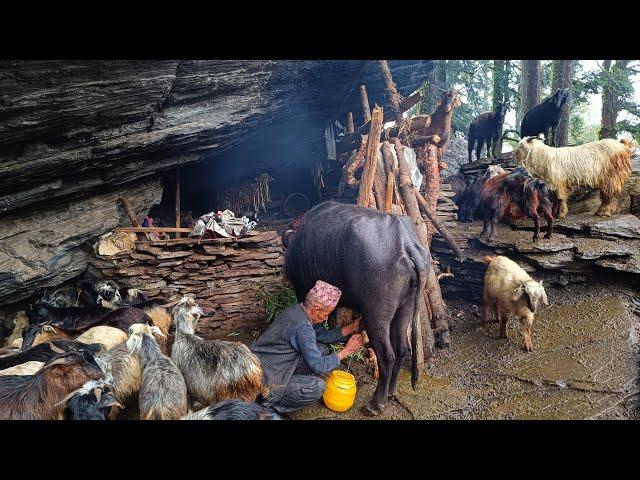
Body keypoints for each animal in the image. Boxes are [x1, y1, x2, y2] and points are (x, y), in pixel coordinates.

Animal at [284, 201, 430, 414]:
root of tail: (405, 242)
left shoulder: (303, 289)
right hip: (406, 307)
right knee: (402, 348)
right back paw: (391, 392)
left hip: (377, 315)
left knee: (387, 355)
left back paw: (376, 403)